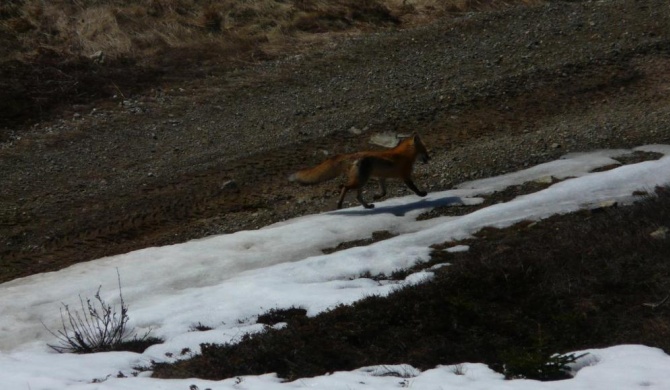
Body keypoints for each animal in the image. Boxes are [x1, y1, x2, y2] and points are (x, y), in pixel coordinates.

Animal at [288, 133, 430, 209]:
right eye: (425, 151)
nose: (429, 159)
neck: (404, 155)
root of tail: (354, 155)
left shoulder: (381, 177)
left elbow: (384, 192)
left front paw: (377, 196)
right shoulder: (405, 176)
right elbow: (414, 188)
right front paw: (422, 194)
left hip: (362, 182)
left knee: (356, 196)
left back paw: (367, 206)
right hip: (360, 181)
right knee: (345, 187)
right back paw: (339, 204)